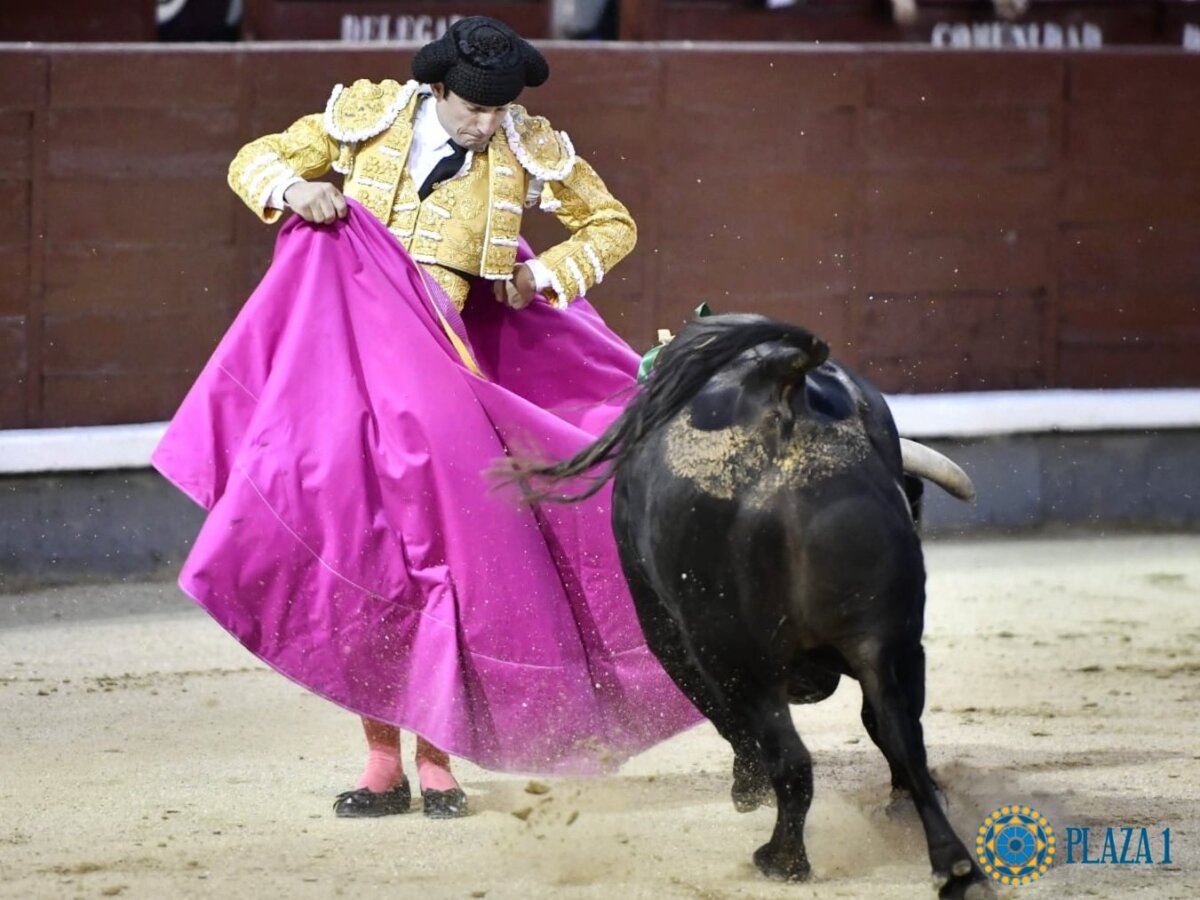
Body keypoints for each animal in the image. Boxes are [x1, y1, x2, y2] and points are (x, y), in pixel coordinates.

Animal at [507, 314, 992, 899]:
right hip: (889, 636)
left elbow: (723, 717)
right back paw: (953, 863)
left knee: (792, 755)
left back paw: (781, 859)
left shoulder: (669, 633)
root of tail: (781, 391)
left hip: (737, 651)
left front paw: (748, 787)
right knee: (900, 732)